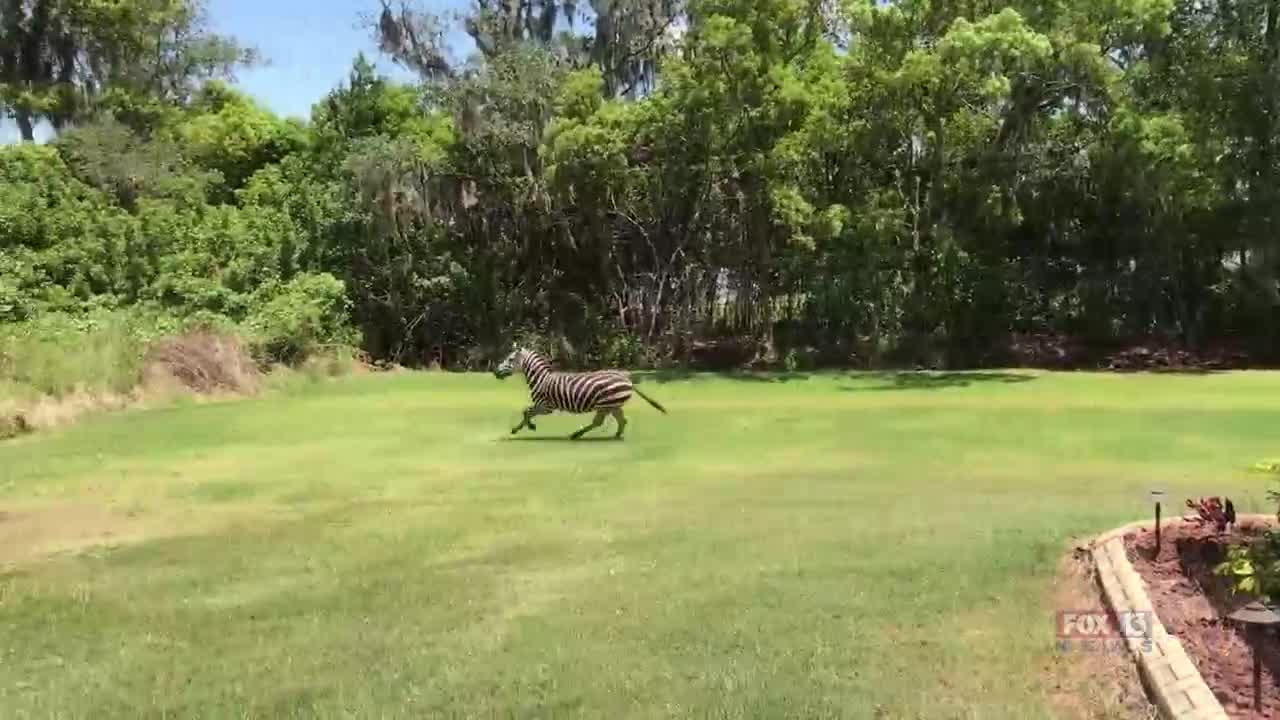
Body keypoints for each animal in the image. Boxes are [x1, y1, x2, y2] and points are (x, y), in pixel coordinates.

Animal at [493, 347, 667, 439]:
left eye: (510, 360)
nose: (495, 372)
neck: (541, 379)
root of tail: (626, 378)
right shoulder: (543, 406)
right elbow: (526, 411)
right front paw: (522, 428)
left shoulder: (546, 406)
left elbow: (526, 411)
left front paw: (527, 427)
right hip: (612, 405)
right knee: (621, 421)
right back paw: (615, 436)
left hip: (606, 404)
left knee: (600, 422)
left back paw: (576, 435)